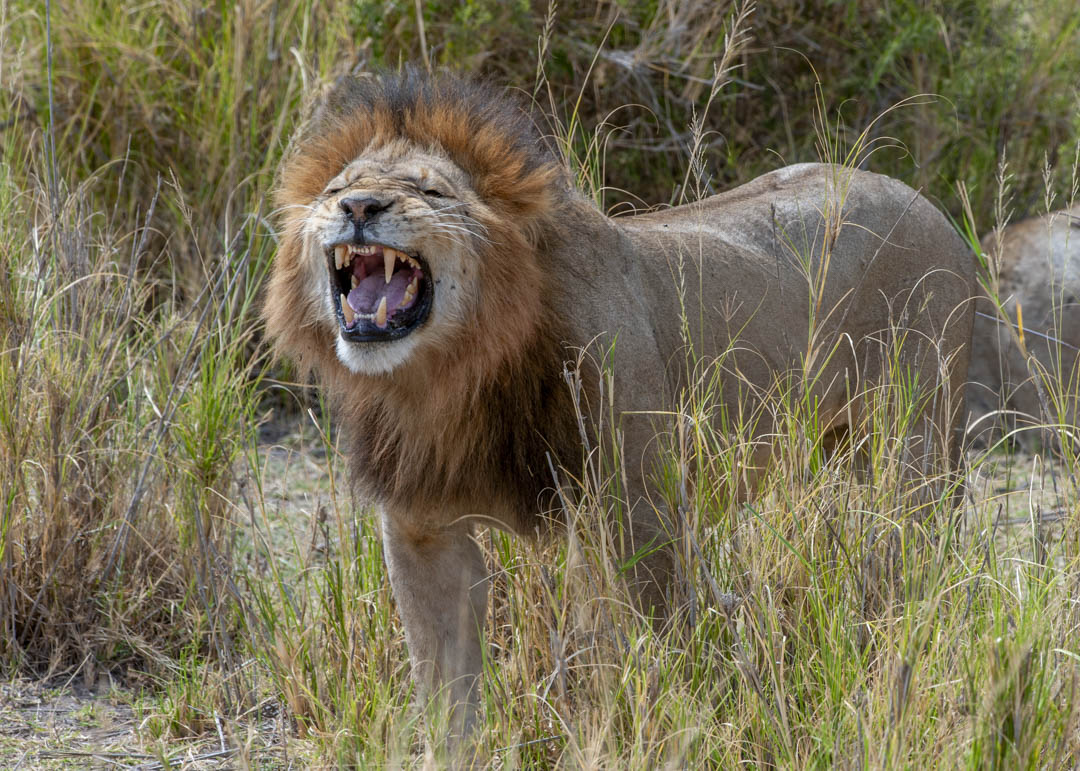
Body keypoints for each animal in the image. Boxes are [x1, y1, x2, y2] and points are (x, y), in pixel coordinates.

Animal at [263, 69, 975, 740]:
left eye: (432, 192)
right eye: (334, 190)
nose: (358, 206)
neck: (448, 377)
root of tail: (927, 205)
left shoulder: (635, 511)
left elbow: (657, 647)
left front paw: (672, 732)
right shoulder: (422, 528)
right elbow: (445, 689)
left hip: (917, 447)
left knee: (915, 560)